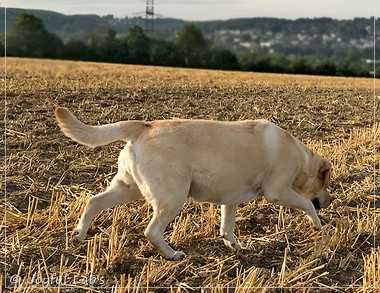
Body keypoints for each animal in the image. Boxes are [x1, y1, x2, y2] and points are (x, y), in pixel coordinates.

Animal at [55, 106, 332, 258]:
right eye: (327, 184)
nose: (330, 201)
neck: (301, 158)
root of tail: (144, 126)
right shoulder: (278, 192)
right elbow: (307, 204)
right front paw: (318, 224)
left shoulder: (230, 199)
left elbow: (227, 225)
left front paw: (233, 245)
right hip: (172, 197)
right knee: (152, 231)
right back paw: (173, 255)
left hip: (127, 187)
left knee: (93, 202)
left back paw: (79, 235)